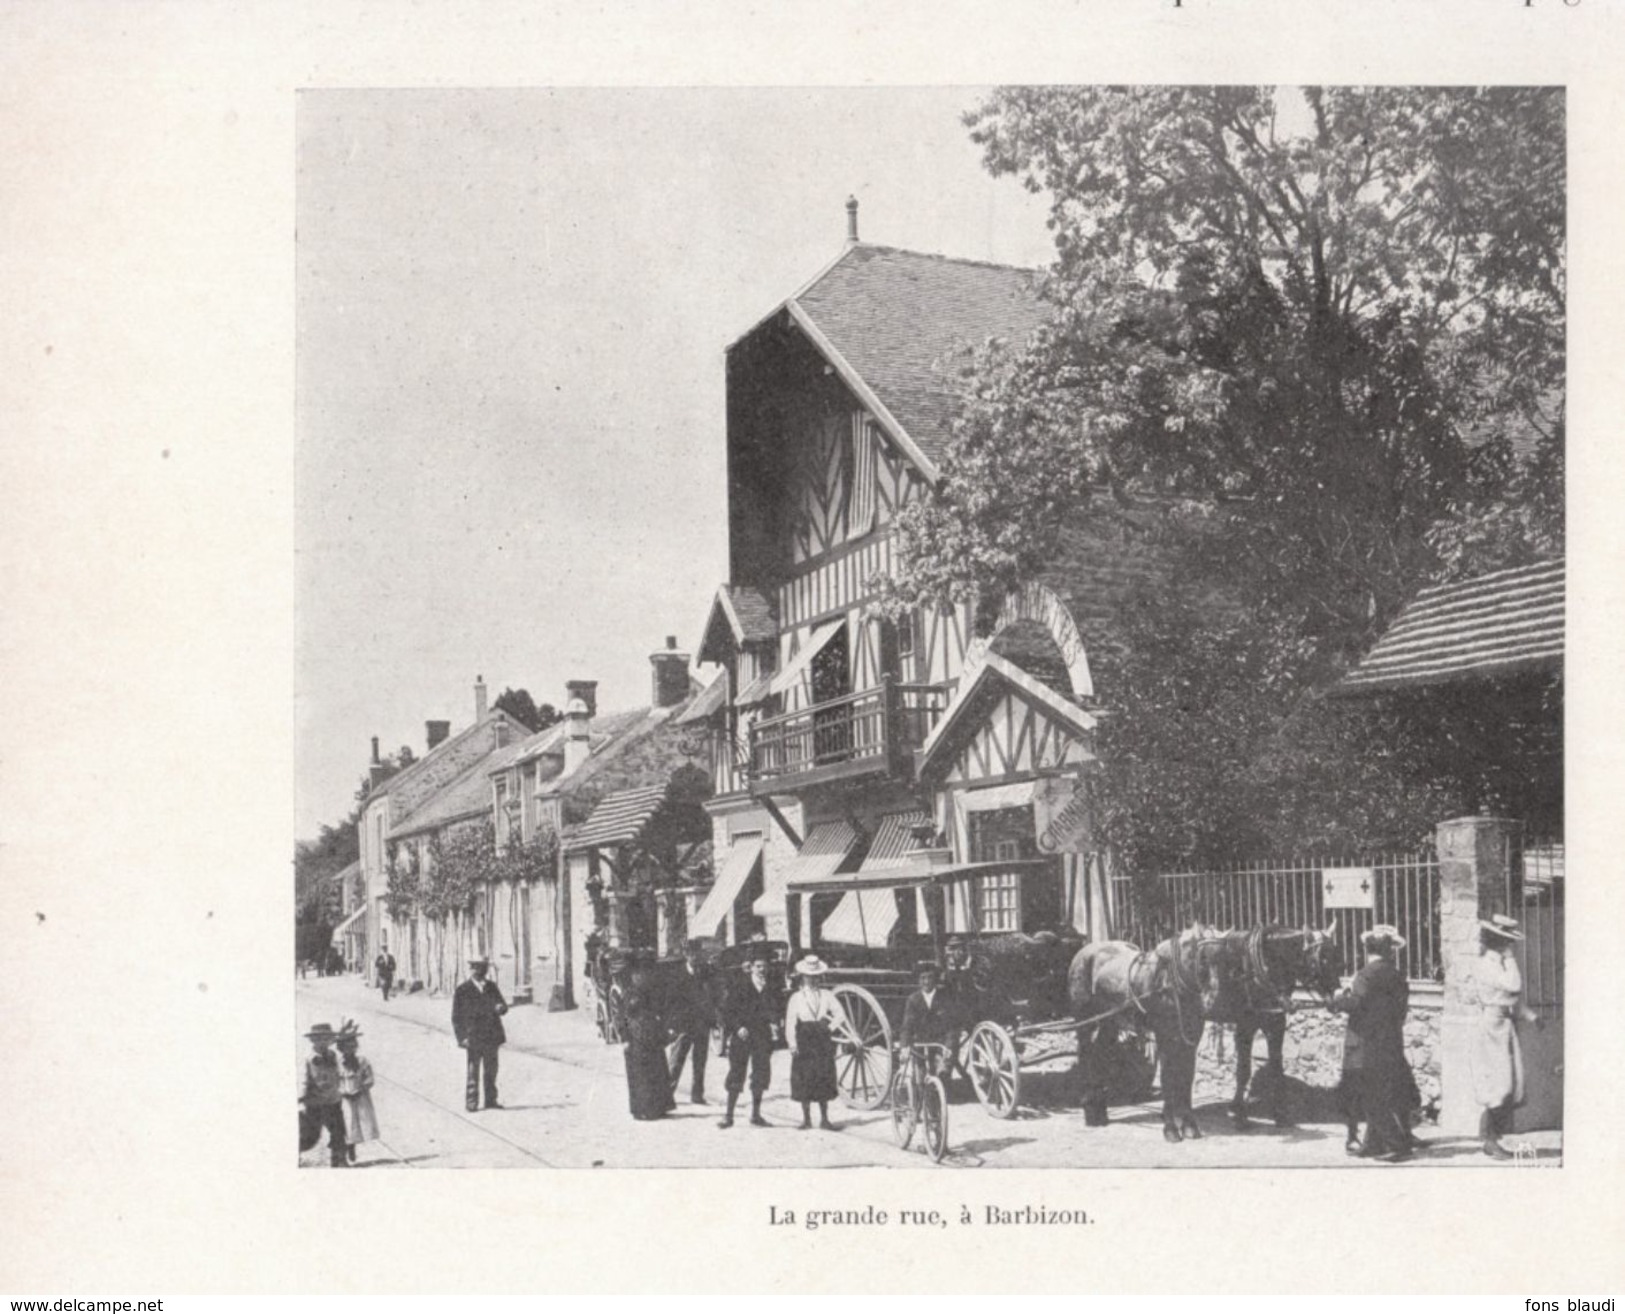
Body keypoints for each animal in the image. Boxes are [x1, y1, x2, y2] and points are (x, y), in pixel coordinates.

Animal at [1066, 929, 1228, 1143]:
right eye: (1203, 958)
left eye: (1224, 957)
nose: (1211, 1000)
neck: (1171, 982)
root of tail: (1083, 951)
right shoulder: (1164, 1036)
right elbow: (1168, 1079)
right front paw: (1170, 1129)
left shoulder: (1190, 1039)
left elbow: (1186, 1079)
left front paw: (1189, 1127)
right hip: (1085, 1020)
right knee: (1086, 1056)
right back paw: (1090, 1110)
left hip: (1109, 1021)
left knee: (1100, 1054)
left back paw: (1098, 1112)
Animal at [1209, 922, 1345, 1130]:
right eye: (1322, 960)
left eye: (1338, 958)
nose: (1338, 999)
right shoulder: (1245, 1026)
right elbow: (1243, 1070)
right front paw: (1239, 1114)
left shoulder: (1276, 1023)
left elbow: (1276, 1068)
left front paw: (1280, 1115)